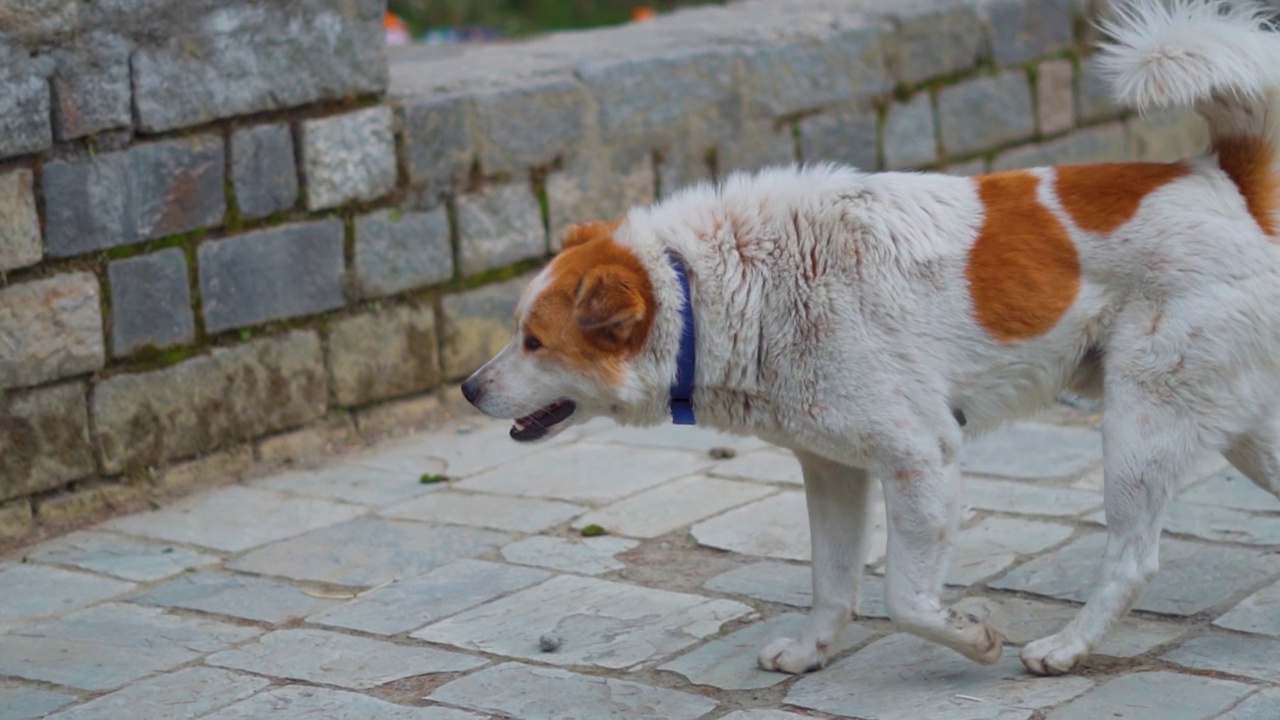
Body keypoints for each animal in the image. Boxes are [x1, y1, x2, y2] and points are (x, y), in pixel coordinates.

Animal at [465, 0, 1280, 671]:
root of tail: (1219, 180)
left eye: (534, 341)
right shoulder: (831, 469)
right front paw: (811, 652)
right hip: (1238, 427)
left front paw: (974, 637)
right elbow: (833, 581)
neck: (716, 287)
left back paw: (1065, 648)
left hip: (1142, 423)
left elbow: (907, 600)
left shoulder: (921, 456)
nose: (469, 389)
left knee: (1133, 558)